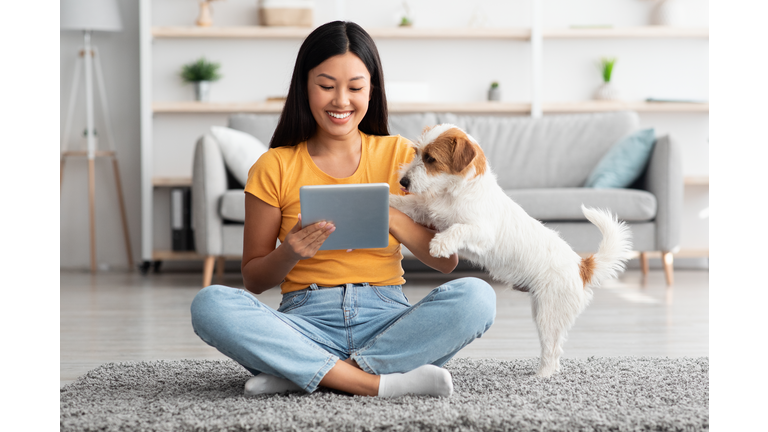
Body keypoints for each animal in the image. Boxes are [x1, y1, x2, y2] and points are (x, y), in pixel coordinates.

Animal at [392, 124, 632, 378]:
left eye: (431, 159)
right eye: (416, 152)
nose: (403, 181)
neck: (454, 192)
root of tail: (581, 266)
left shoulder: (481, 231)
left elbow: (459, 229)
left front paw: (440, 244)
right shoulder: (426, 211)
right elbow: (407, 205)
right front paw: (388, 201)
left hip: (548, 316)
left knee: (552, 350)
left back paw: (542, 375)